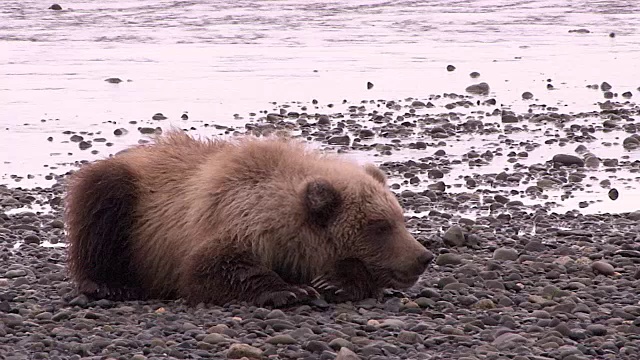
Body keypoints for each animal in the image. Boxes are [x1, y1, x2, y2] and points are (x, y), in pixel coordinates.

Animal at [65, 129, 436, 306]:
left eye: (401, 218)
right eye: (380, 226)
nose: (423, 256)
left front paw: (334, 281)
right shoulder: (231, 217)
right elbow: (212, 267)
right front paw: (291, 291)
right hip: (131, 197)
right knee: (100, 210)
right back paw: (110, 284)